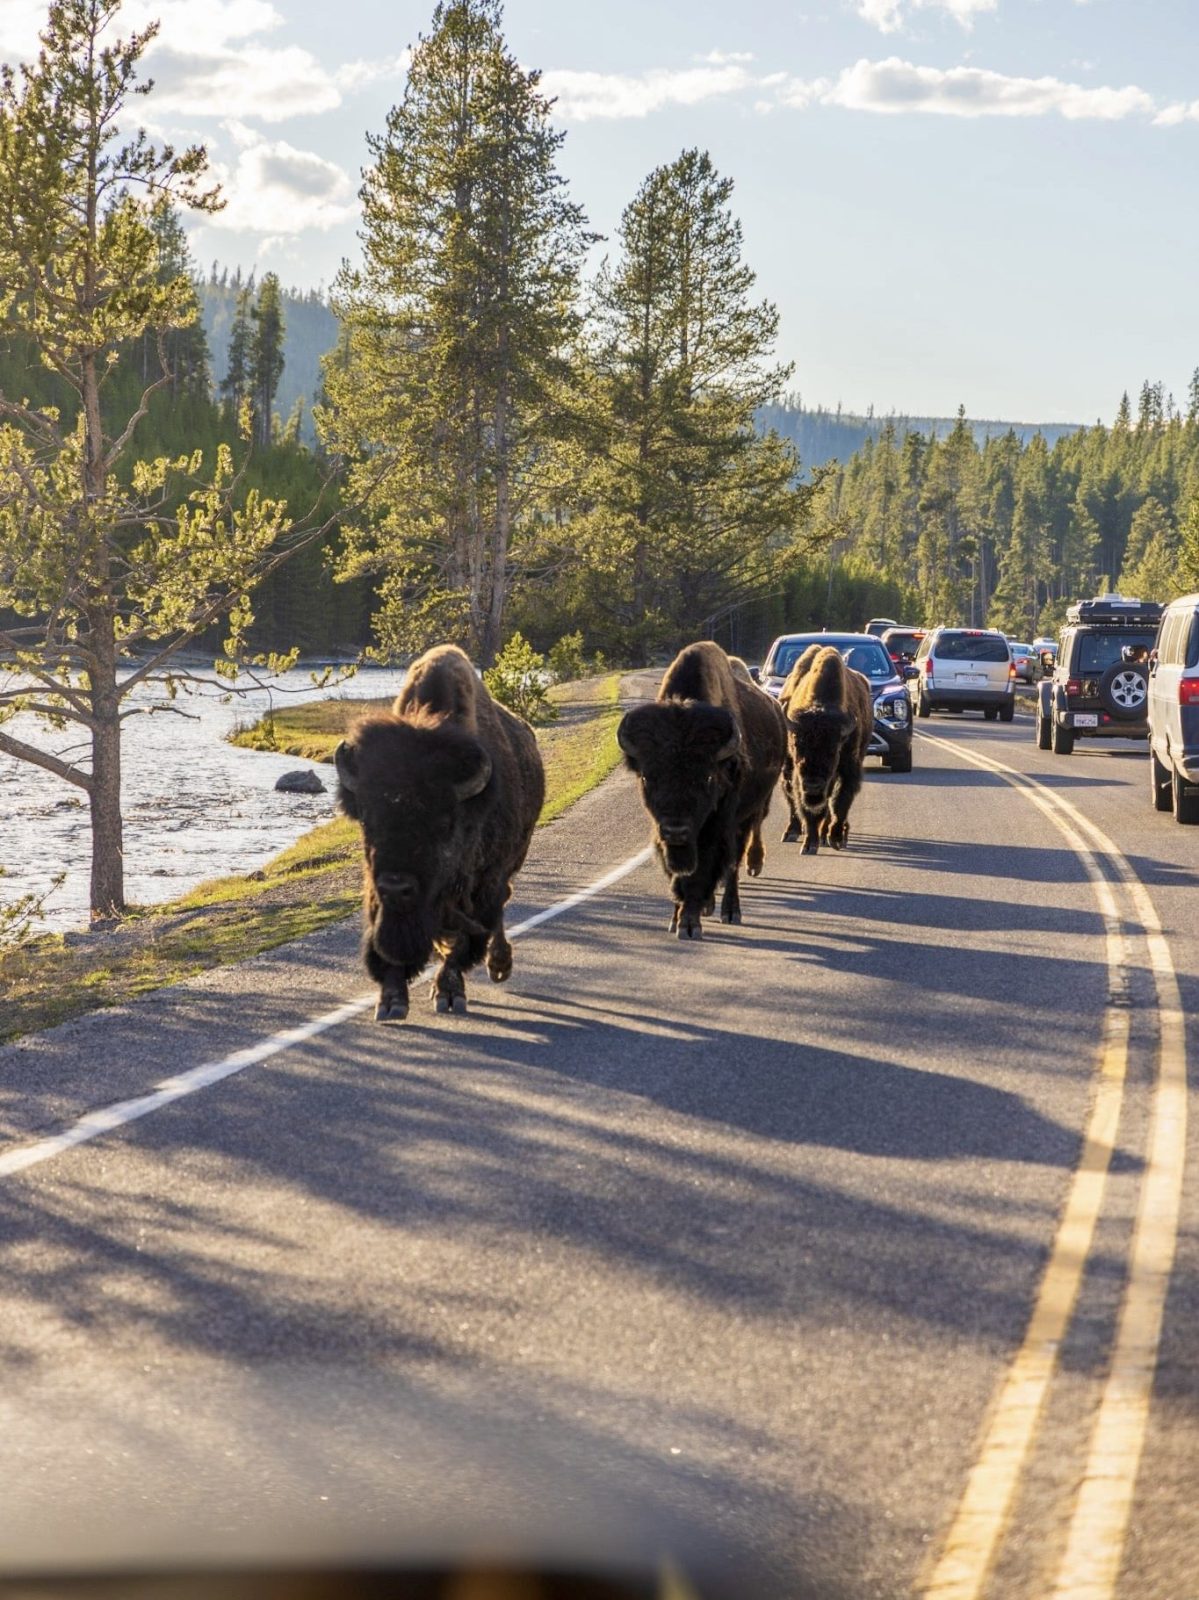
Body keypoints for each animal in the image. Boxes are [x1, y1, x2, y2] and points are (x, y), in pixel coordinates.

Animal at [335, 644, 545, 1021]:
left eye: (444, 824)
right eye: (368, 820)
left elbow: (464, 940)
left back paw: (499, 965)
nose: (396, 886)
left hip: (509, 865)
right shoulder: (378, 896)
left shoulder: (480, 887)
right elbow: (385, 946)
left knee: (500, 908)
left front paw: (448, 994)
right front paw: (391, 1002)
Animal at [618, 640, 786, 939]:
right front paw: (677, 918)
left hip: (749, 814)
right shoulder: (664, 835)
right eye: (648, 777)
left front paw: (689, 924)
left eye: (707, 777)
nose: (676, 830)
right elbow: (679, 876)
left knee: (733, 862)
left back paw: (731, 911)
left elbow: (703, 869)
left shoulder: (716, 826)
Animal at [778, 644, 872, 853]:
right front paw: (809, 844)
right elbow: (806, 807)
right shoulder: (797, 774)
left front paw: (835, 838)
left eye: (834, 750)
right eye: (797, 746)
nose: (813, 786)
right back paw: (792, 832)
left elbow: (839, 802)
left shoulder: (848, 770)